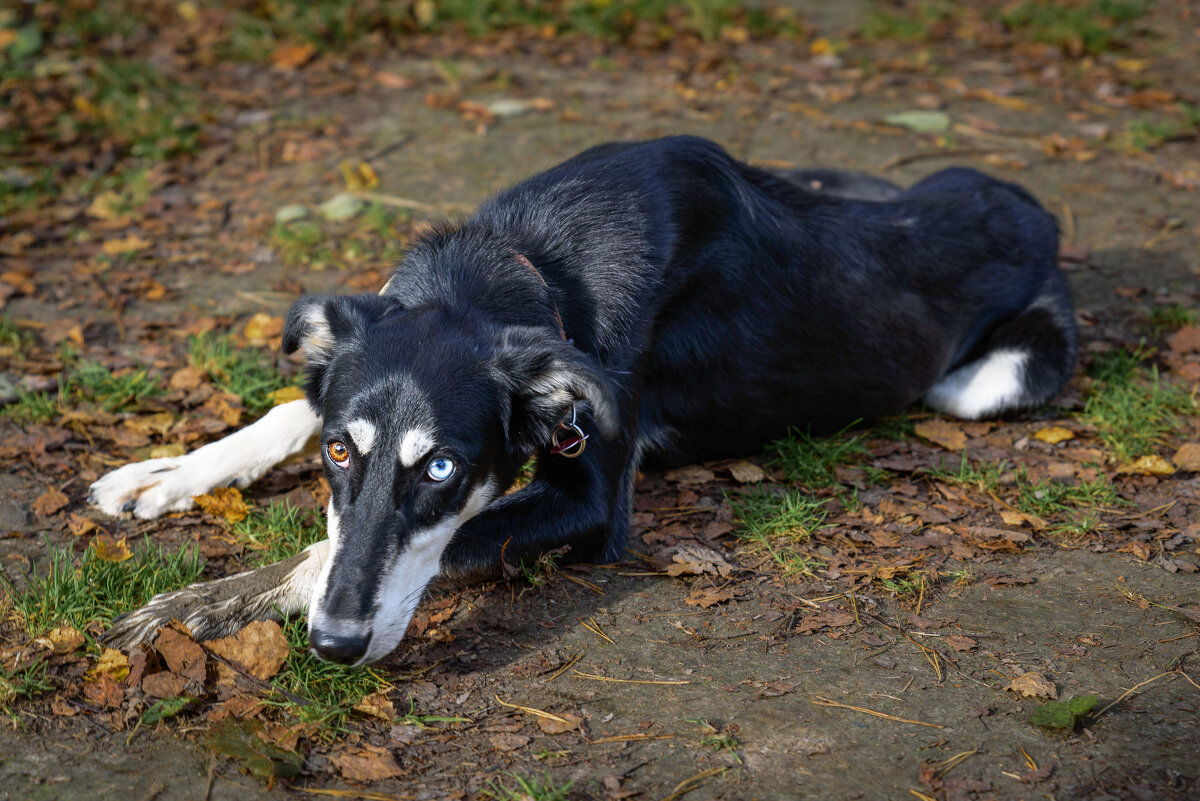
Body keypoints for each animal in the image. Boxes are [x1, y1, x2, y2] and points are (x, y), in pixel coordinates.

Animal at [88, 136, 1075, 661]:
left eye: (442, 468)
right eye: (340, 452)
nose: (335, 645)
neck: (528, 256)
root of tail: (1031, 201)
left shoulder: (594, 504)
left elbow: (360, 549)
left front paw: (212, 601)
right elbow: (298, 418)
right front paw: (172, 474)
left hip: (984, 383)